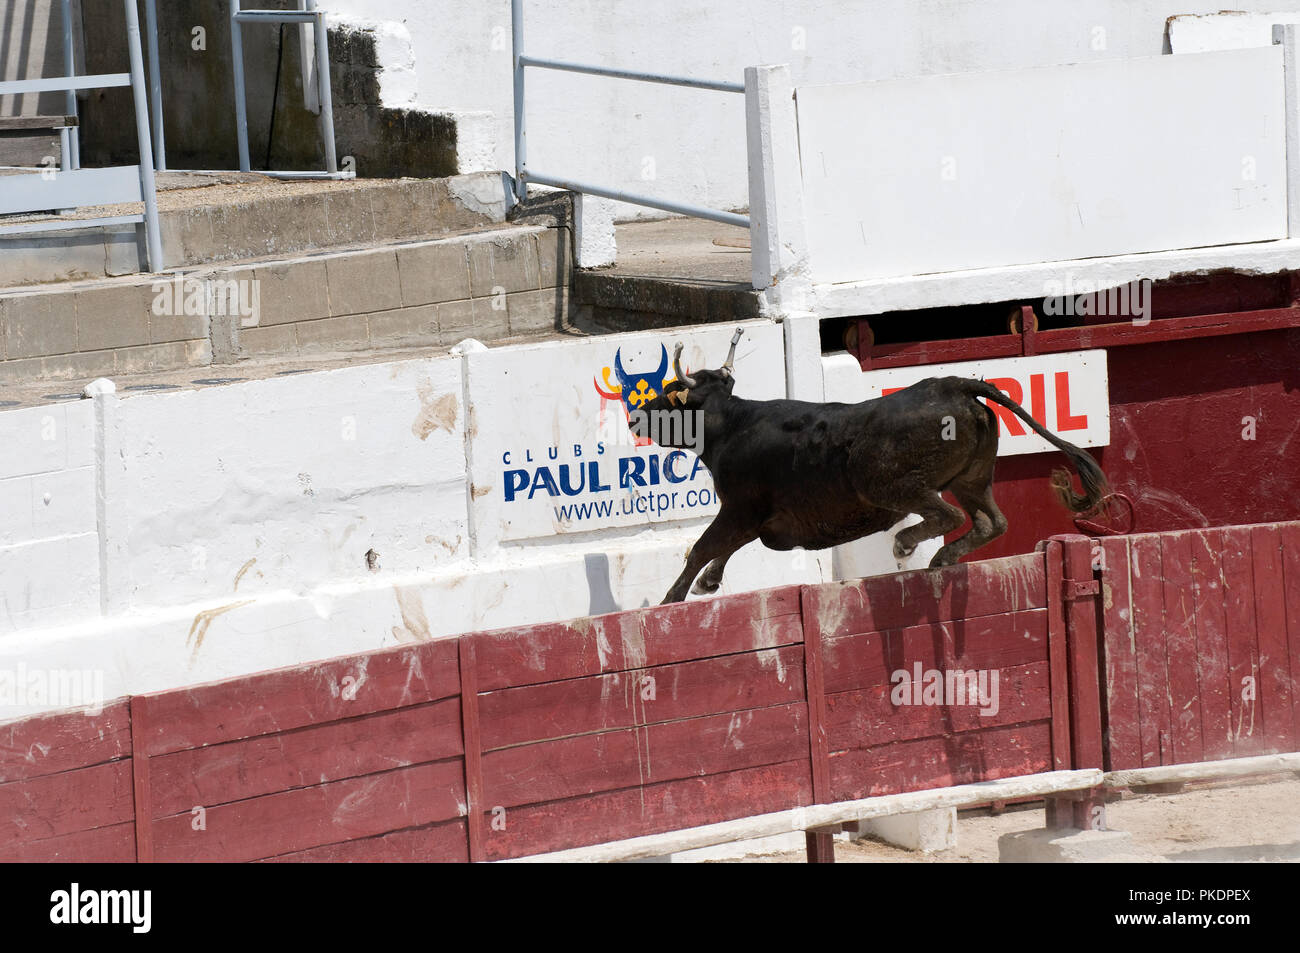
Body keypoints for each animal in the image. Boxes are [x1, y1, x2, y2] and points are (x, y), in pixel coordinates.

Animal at [629, 332, 1107, 603]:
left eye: (670, 394)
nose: (635, 416)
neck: (732, 423)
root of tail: (953, 383)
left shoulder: (740, 507)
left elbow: (703, 547)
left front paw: (671, 598)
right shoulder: (755, 517)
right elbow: (723, 547)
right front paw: (707, 584)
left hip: (881, 481)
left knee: (947, 514)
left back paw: (909, 545)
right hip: (973, 479)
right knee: (993, 521)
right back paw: (943, 556)